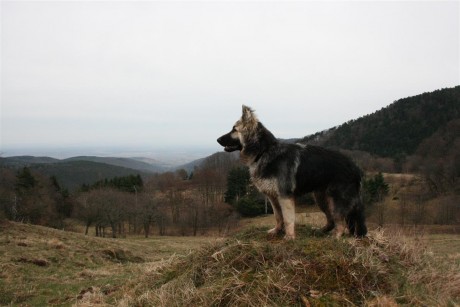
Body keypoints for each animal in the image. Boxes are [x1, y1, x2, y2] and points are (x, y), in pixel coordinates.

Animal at [217, 106, 366, 241]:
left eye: (234, 129)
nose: (217, 139)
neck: (264, 151)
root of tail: (355, 167)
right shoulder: (273, 197)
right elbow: (278, 216)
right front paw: (277, 231)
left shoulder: (284, 196)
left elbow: (288, 218)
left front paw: (289, 237)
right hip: (321, 198)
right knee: (331, 220)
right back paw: (321, 231)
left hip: (336, 200)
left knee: (340, 221)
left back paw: (335, 237)